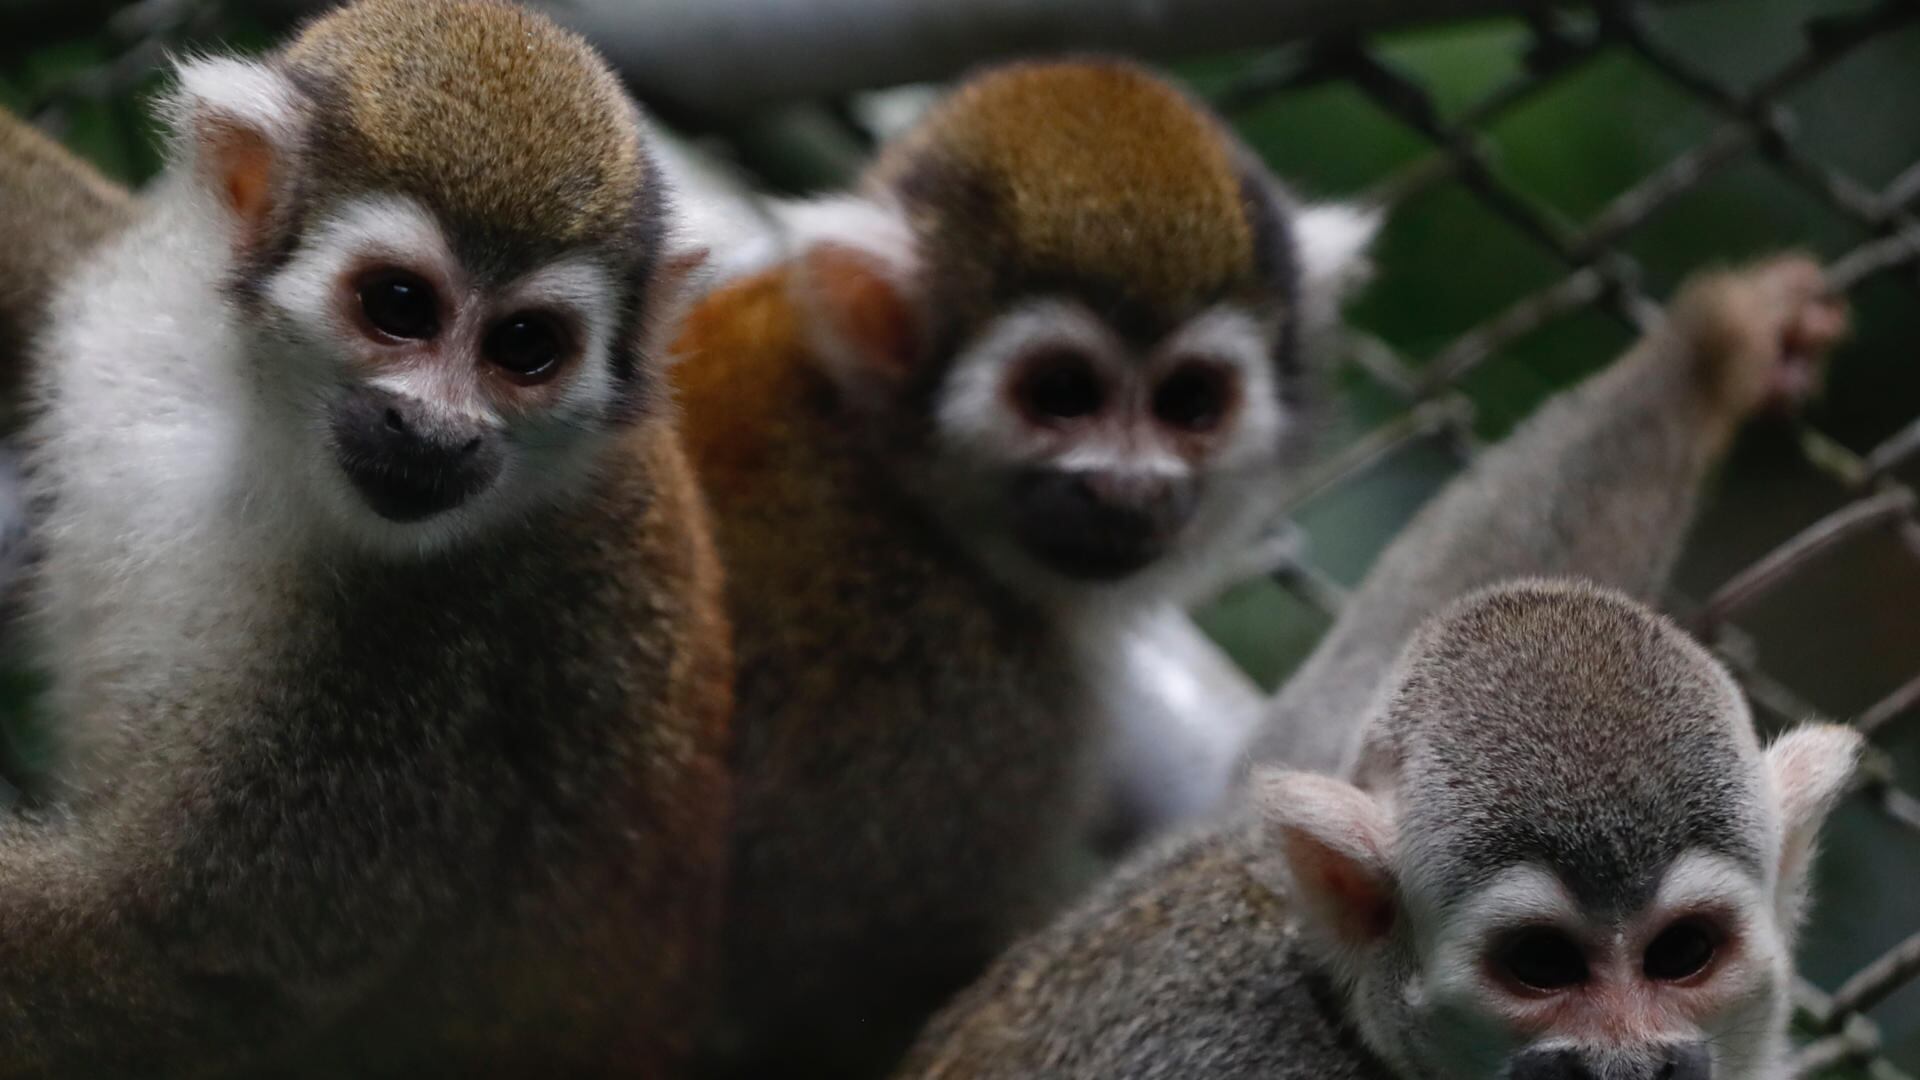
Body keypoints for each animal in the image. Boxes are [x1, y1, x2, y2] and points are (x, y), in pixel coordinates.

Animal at [0, 1, 730, 1074]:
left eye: (526, 349)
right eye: (398, 306)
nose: (436, 432)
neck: (266, 428)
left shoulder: (431, 650)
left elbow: (183, 959)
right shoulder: (126, 312)